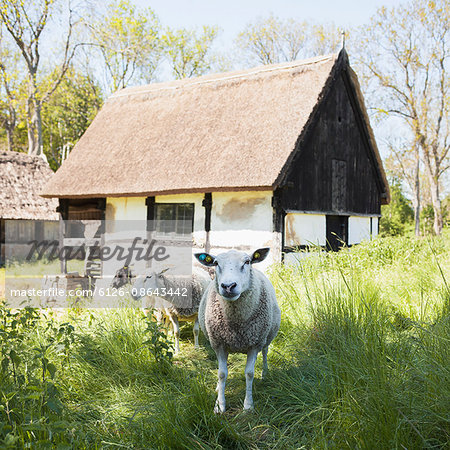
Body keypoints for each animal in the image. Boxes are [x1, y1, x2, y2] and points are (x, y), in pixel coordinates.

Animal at [195, 248, 280, 414]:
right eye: (216, 263)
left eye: (247, 262)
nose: (228, 286)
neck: (236, 323)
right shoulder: (219, 344)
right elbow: (222, 374)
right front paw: (219, 405)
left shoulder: (255, 344)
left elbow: (249, 373)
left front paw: (248, 405)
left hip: (266, 337)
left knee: (265, 352)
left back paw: (265, 373)